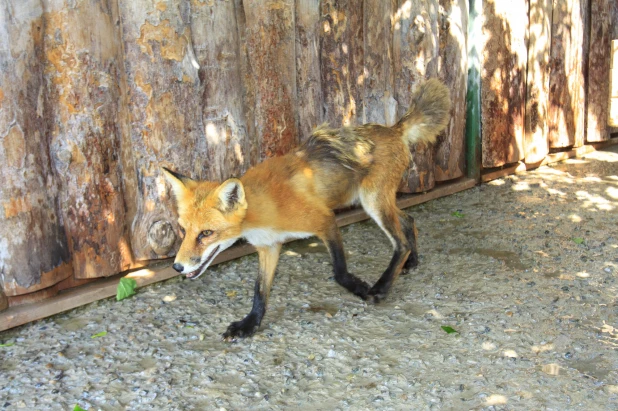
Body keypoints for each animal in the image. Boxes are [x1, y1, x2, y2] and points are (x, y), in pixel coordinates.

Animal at [162, 79, 448, 340]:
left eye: (206, 233)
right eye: (184, 231)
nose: (177, 267)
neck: (265, 208)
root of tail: (393, 128)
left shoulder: (325, 221)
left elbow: (339, 272)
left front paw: (360, 288)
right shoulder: (269, 247)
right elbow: (260, 292)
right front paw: (249, 324)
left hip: (373, 202)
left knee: (400, 242)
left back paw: (382, 286)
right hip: (377, 202)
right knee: (409, 219)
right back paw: (412, 261)